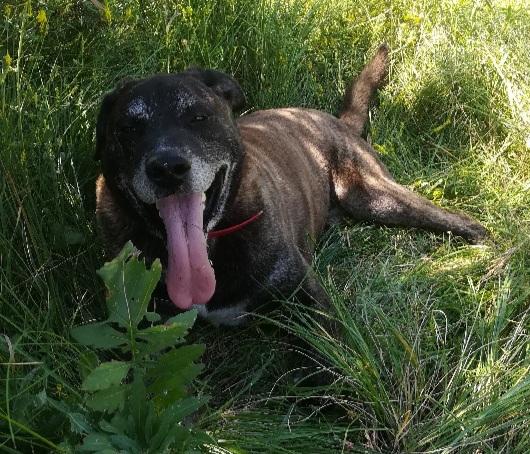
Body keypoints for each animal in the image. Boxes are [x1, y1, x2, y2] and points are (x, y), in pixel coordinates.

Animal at [96, 44, 486, 324]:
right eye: (127, 128)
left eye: (198, 117)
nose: (167, 168)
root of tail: (336, 120)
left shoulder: (307, 294)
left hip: (376, 197)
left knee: (462, 221)